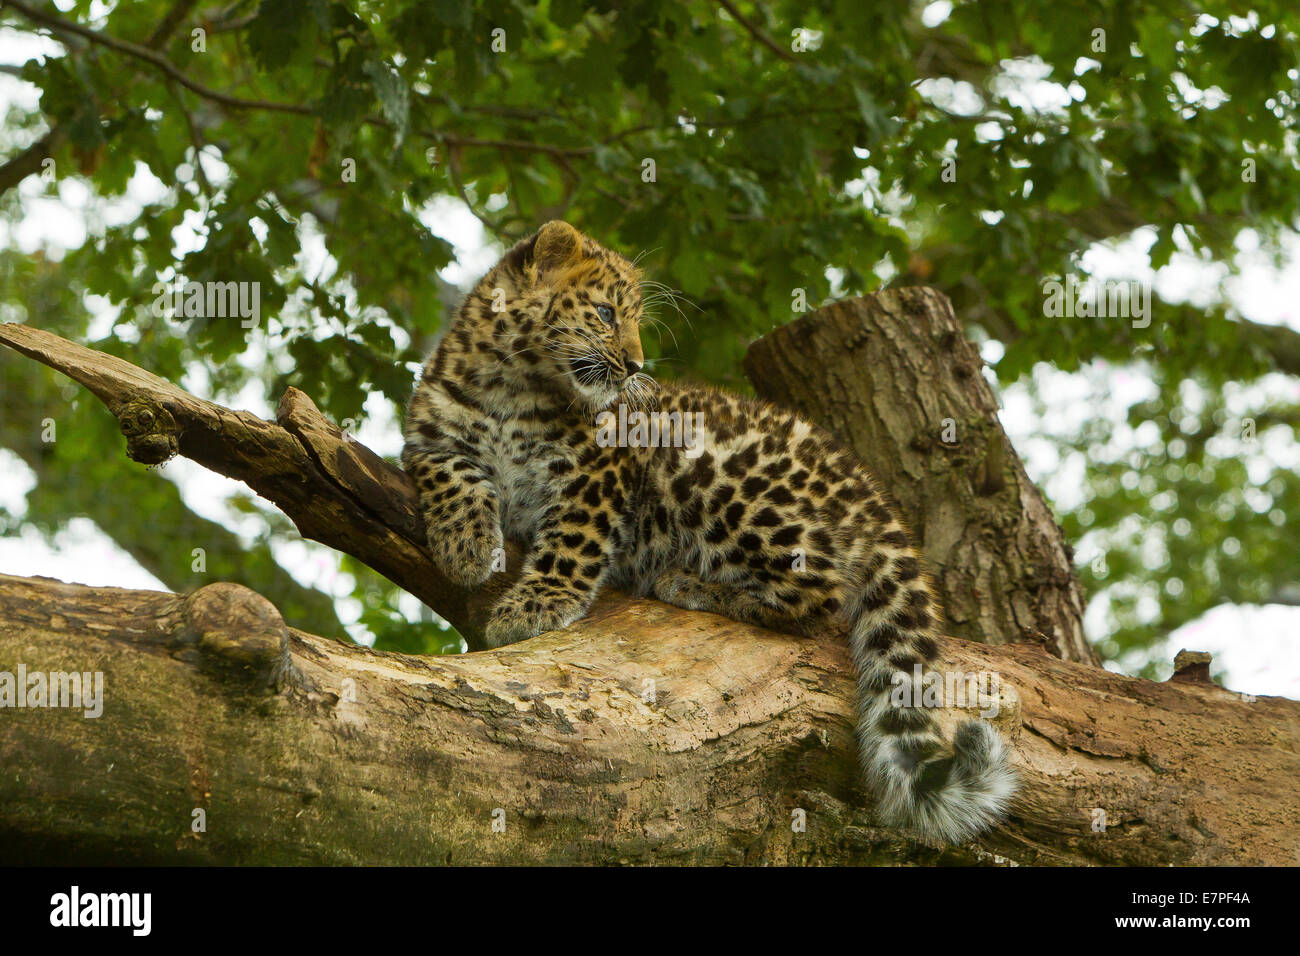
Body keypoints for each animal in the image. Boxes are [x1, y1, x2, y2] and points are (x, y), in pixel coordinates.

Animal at [401, 220, 1016, 843]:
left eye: (632, 318)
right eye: (604, 312)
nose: (634, 366)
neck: (511, 385)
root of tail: (867, 492)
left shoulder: (603, 467)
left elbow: (573, 539)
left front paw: (536, 604)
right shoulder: (427, 443)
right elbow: (451, 473)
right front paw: (465, 546)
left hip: (709, 472)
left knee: (818, 595)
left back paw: (689, 585)